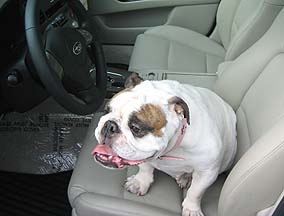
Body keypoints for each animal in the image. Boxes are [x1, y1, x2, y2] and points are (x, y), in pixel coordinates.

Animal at [92, 73, 236, 215]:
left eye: (136, 128)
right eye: (106, 111)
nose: (109, 126)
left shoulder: (207, 172)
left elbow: (195, 191)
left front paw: (191, 209)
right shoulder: (143, 156)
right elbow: (145, 169)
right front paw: (140, 182)